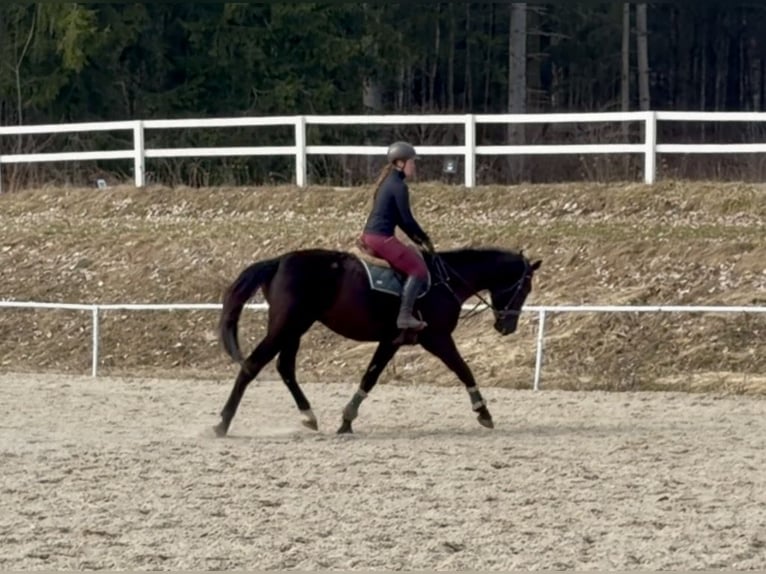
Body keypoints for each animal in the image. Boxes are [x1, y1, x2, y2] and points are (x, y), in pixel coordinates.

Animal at [214, 244, 542, 436]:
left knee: (285, 368)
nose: (507, 326)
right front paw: (483, 412)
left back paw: (308, 416)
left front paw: (347, 420)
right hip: (287, 326)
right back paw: (222, 423)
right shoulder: (437, 338)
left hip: (294, 329)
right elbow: (464, 370)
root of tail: (280, 260)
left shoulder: (391, 341)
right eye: (525, 288)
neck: (445, 280)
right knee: (252, 365)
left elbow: (369, 378)